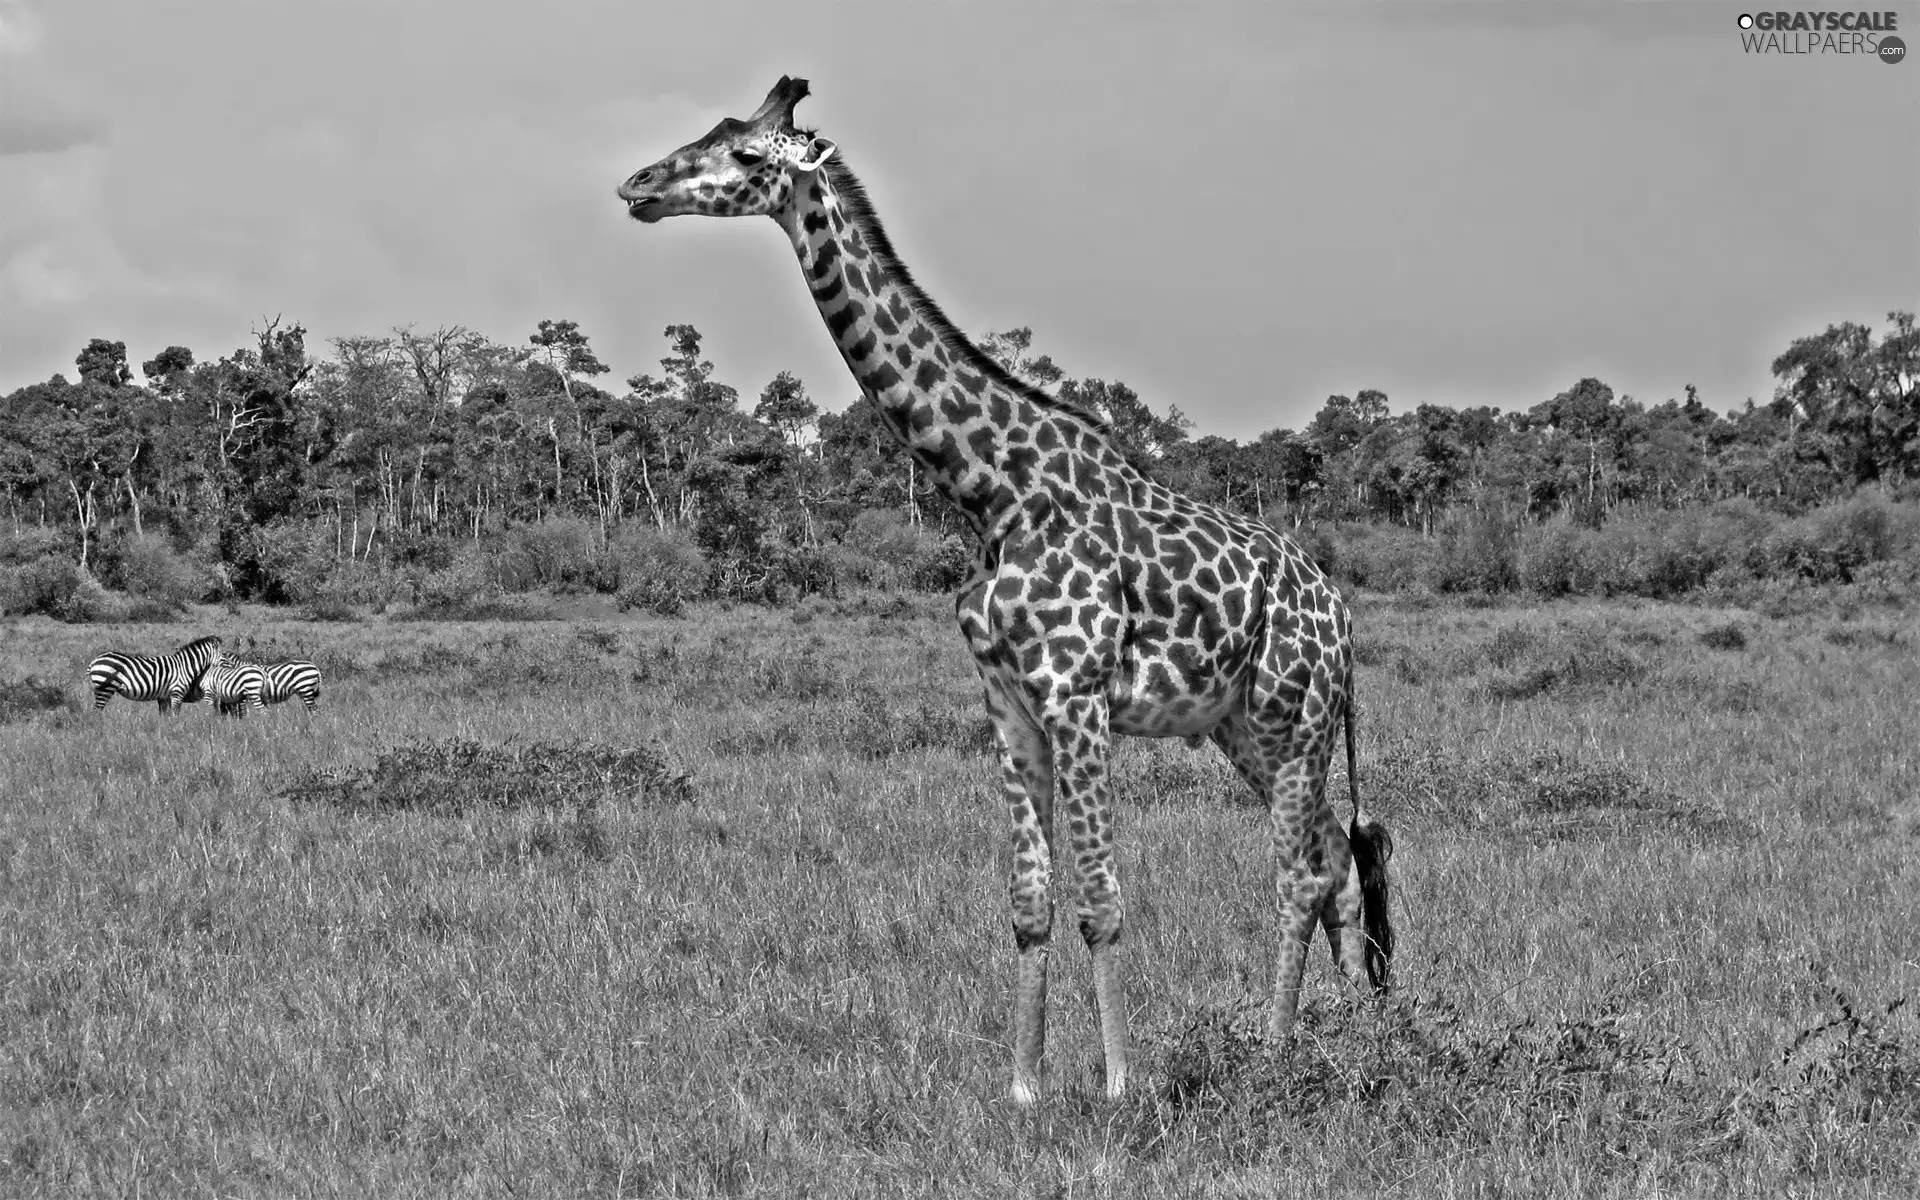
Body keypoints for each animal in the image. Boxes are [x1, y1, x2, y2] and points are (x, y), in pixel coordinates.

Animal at [90, 637, 222, 710]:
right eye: (224, 654)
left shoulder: (164, 696)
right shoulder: (176, 693)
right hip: (105, 688)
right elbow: (175, 715)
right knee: (97, 711)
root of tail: (95, 661)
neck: (184, 666)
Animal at [622, 74, 1390, 1105]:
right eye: (713, 130)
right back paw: (1352, 1038)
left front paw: (1117, 1083)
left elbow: (1100, 899)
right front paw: (1023, 1087)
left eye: (746, 155)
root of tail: (1340, 612)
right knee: (1337, 858)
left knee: (1300, 875)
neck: (991, 492)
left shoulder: (1076, 695)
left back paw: (1274, 1053)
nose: (638, 185)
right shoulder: (1007, 703)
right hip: (1243, 726)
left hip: (1293, 712)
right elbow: (1029, 902)